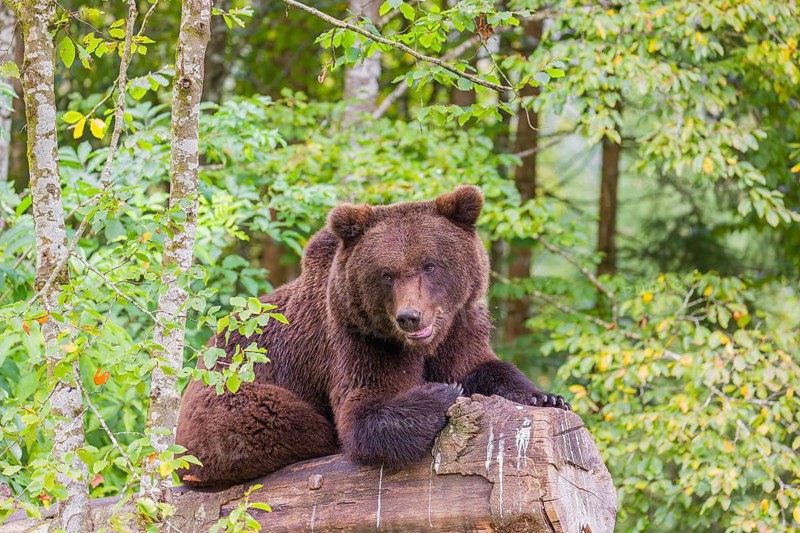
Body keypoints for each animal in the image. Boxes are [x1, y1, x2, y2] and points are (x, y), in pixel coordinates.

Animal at [175, 185, 569, 487]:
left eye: (430, 265)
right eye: (386, 274)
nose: (410, 317)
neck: (421, 344)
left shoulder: (459, 324)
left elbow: (480, 365)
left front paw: (544, 396)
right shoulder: (357, 339)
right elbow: (364, 413)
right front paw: (441, 392)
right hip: (222, 403)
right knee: (279, 419)